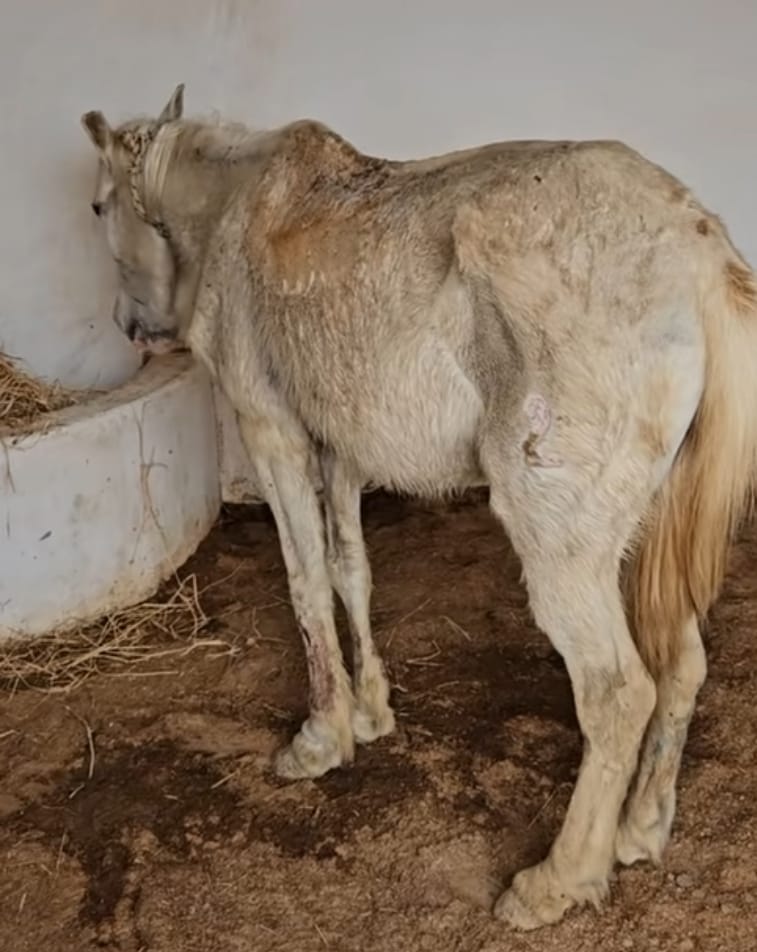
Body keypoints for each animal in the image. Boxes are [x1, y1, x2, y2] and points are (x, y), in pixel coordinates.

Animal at [81, 84, 757, 930]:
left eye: (100, 206)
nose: (132, 329)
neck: (237, 209)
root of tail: (697, 251)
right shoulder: (339, 448)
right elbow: (349, 570)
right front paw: (371, 713)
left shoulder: (272, 432)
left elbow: (304, 581)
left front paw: (320, 739)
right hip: (650, 529)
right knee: (680, 664)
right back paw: (639, 829)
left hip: (563, 544)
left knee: (615, 693)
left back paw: (556, 881)